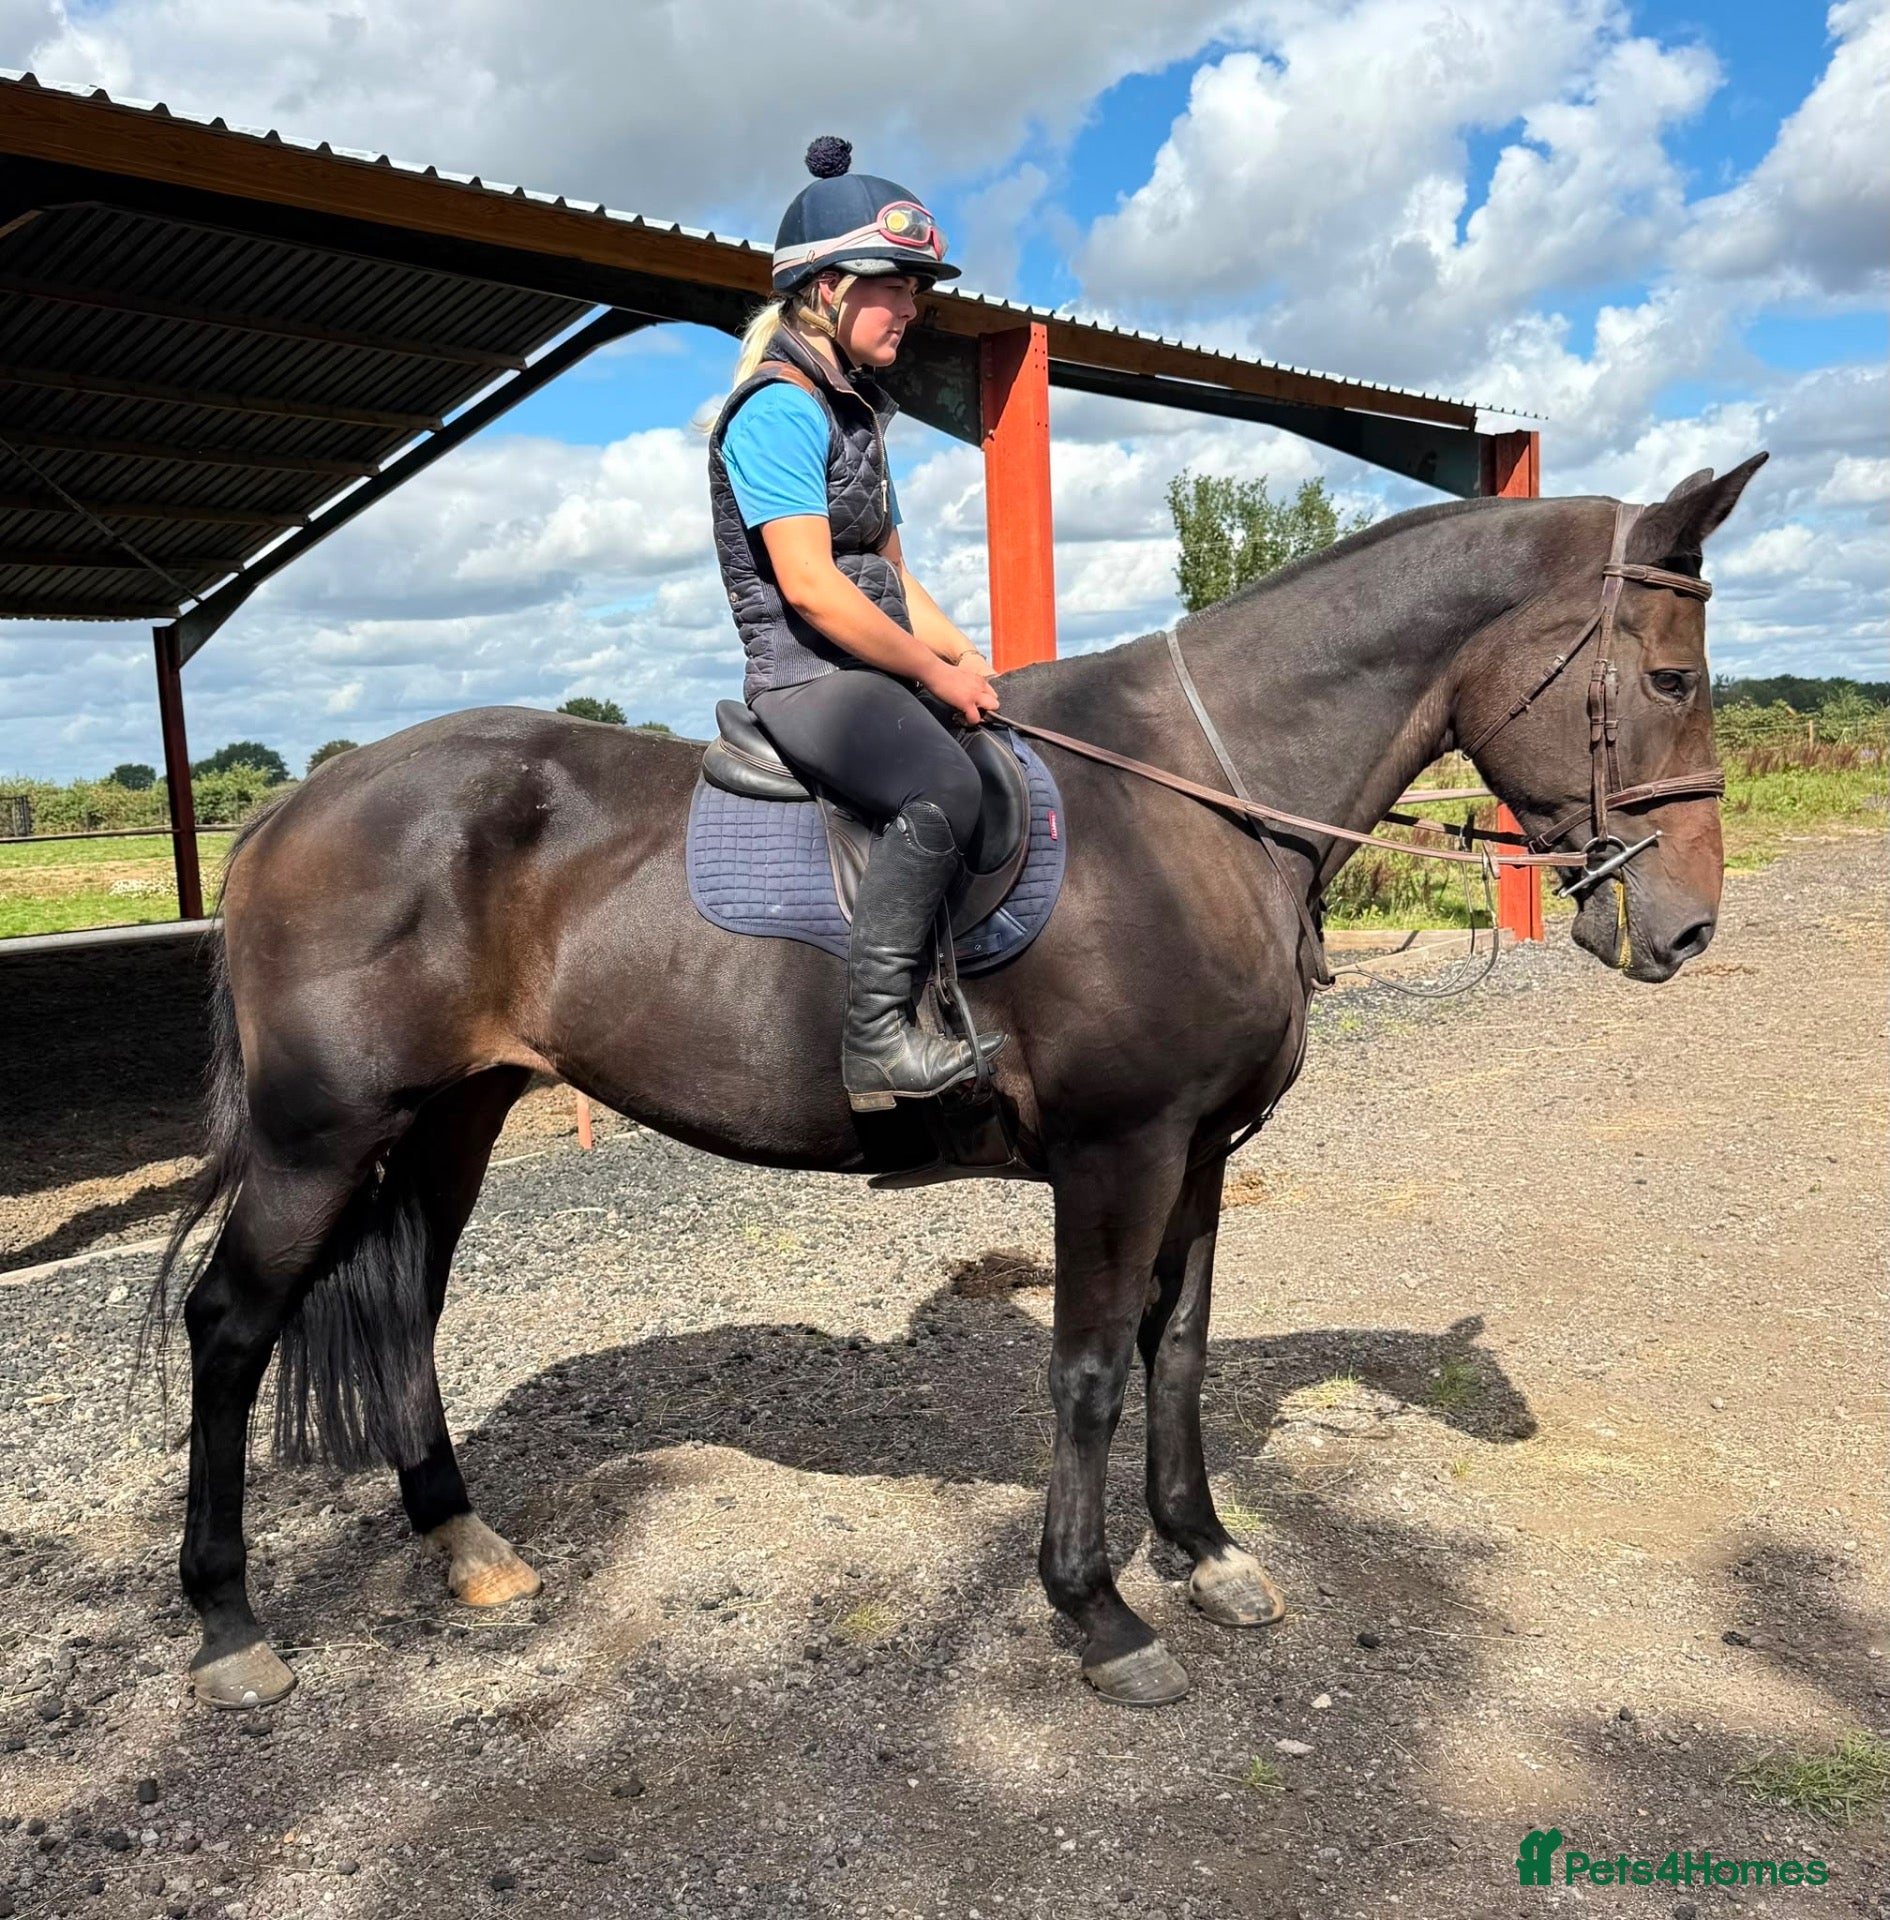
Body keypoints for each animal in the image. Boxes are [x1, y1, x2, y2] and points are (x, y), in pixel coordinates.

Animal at [148, 456, 1765, 1711]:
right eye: (1670, 678)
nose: (1685, 927)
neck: (1199, 806)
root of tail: (295, 804)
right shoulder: (1117, 1152)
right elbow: (1093, 1370)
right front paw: (1098, 1611)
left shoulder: (1200, 1150)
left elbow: (1179, 1352)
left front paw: (1205, 1553)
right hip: (319, 1136)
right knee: (229, 1328)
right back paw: (228, 1627)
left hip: (452, 1118)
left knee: (406, 1304)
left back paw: (462, 1543)